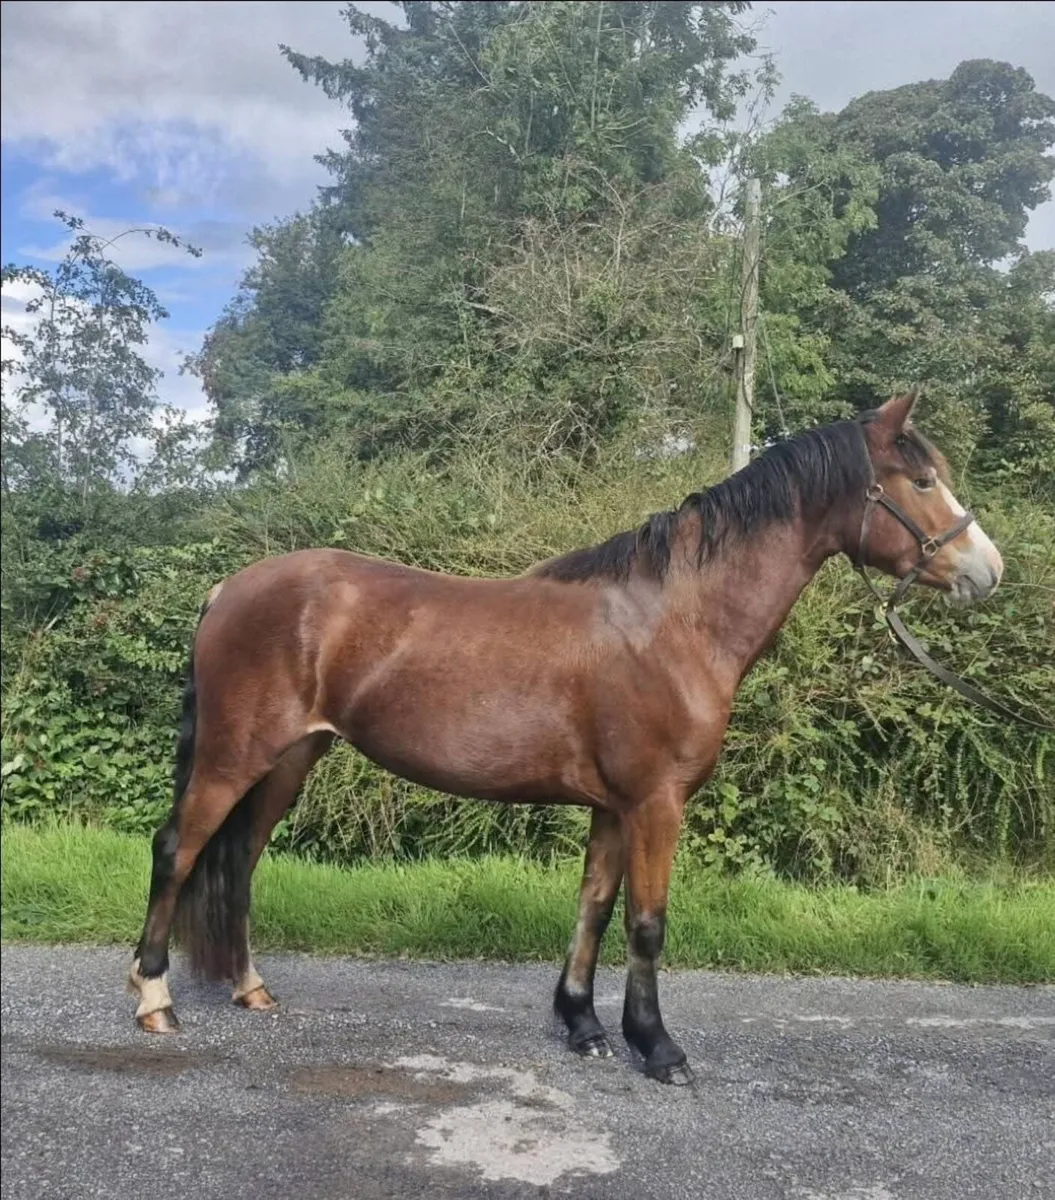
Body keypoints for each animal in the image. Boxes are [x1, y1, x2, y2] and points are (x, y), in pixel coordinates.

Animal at [128, 391, 1003, 1085]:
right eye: (921, 481)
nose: (986, 571)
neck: (673, 620)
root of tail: (228, 587)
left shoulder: (614, 806)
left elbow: (593, 906)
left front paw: (582, 1025)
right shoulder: (655, 803)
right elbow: (646, 924)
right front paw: (658, 1049)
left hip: (290, 758)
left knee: (239, 859)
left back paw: (249, 988)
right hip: (233, 755)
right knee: (178, 849)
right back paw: (154, 1000)